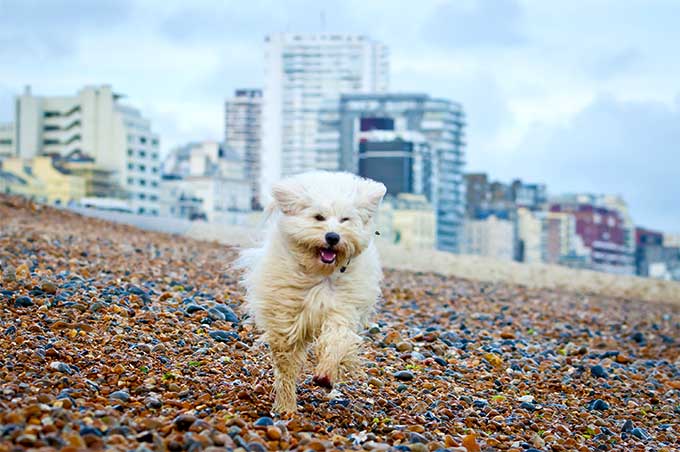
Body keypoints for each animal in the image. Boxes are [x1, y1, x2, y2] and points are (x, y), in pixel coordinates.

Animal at [239, 171, 388, 414]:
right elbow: (286, 360)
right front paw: (286, 401)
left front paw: (326, 373)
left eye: (345, 220)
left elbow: (337, 338)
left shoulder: (342, 307)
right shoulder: (287, 315)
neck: (321, 272)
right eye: (319, 217)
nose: (333, 237)